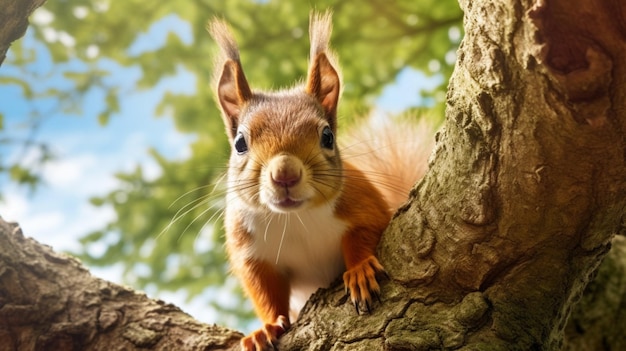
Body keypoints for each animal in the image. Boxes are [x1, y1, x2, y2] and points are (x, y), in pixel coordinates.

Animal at [207, 11, 432, 351]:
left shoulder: (363, 203)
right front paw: (265, 328)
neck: (295, 219)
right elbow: (264, 290)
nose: (285, 173)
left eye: (327, 136)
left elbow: (364, 233)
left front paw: (359, 270)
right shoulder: (250, 252)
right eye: (240, 143)